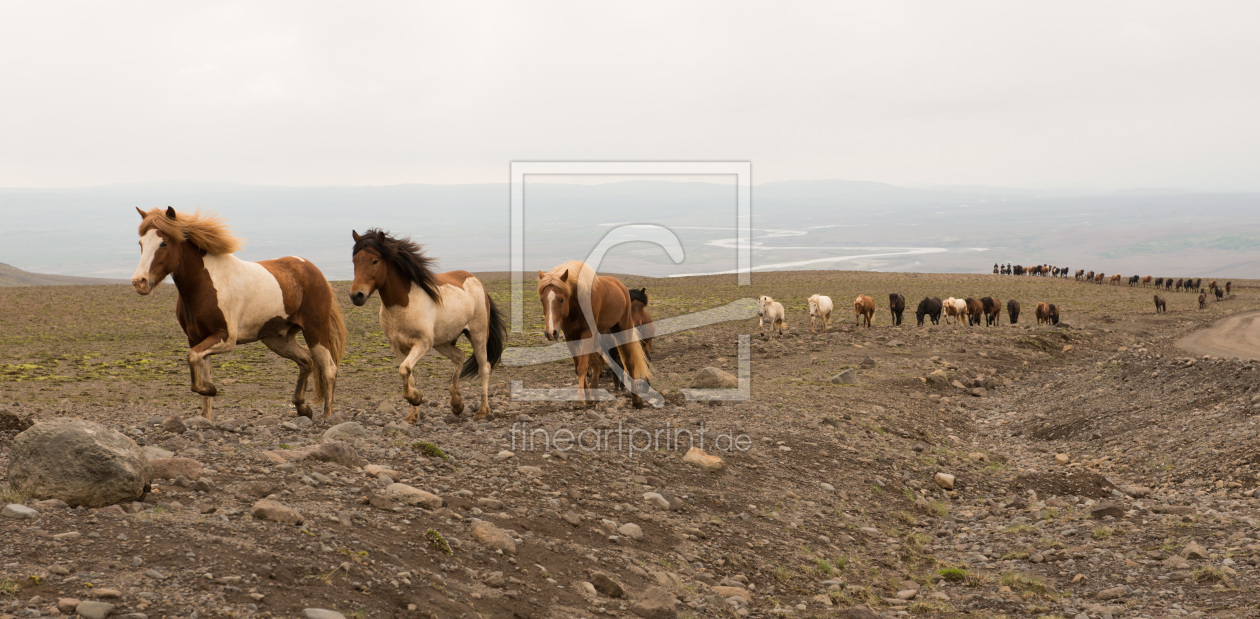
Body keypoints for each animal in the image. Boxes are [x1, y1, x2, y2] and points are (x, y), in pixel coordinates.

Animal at [131, 208, 345, 421]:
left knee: (329, 369)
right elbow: (199, 369)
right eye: (141, 243)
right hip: (277, 339)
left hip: (315, 331)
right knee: (306, 360)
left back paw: (327, 415)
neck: (205, 285)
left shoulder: (225, 338)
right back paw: (303, 408)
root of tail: (312, 269)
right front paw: (206, 414)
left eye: (163, 243)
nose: (139, 282)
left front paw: (210, 389)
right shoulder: (196, 339)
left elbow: (193, 359)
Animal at [350, 230, 506, 423]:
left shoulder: (422, 343)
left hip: (477, 335)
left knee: (484, 368)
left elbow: (405, 369)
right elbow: (408, 374)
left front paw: (416, 398)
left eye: (375, 260)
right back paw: (457, 404)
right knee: (459, 357)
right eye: (354, 260)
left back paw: (483, 410)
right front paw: (412, 414)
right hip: (442, 341)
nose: (356, 295)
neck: (403, 305)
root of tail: (476, 280)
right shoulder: (398, 347)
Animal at [536, 260, 650, 405]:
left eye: (561, 299)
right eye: (542, 300)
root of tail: (620, 285)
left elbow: (582, 367)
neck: (576, 306)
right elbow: (579, 367)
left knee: (629, 362)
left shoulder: (587, 334)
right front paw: (588, 395)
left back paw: (636, 399)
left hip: (623, 328)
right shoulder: (571, 337)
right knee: (598, 364)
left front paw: (580, 399)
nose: (551, 333)